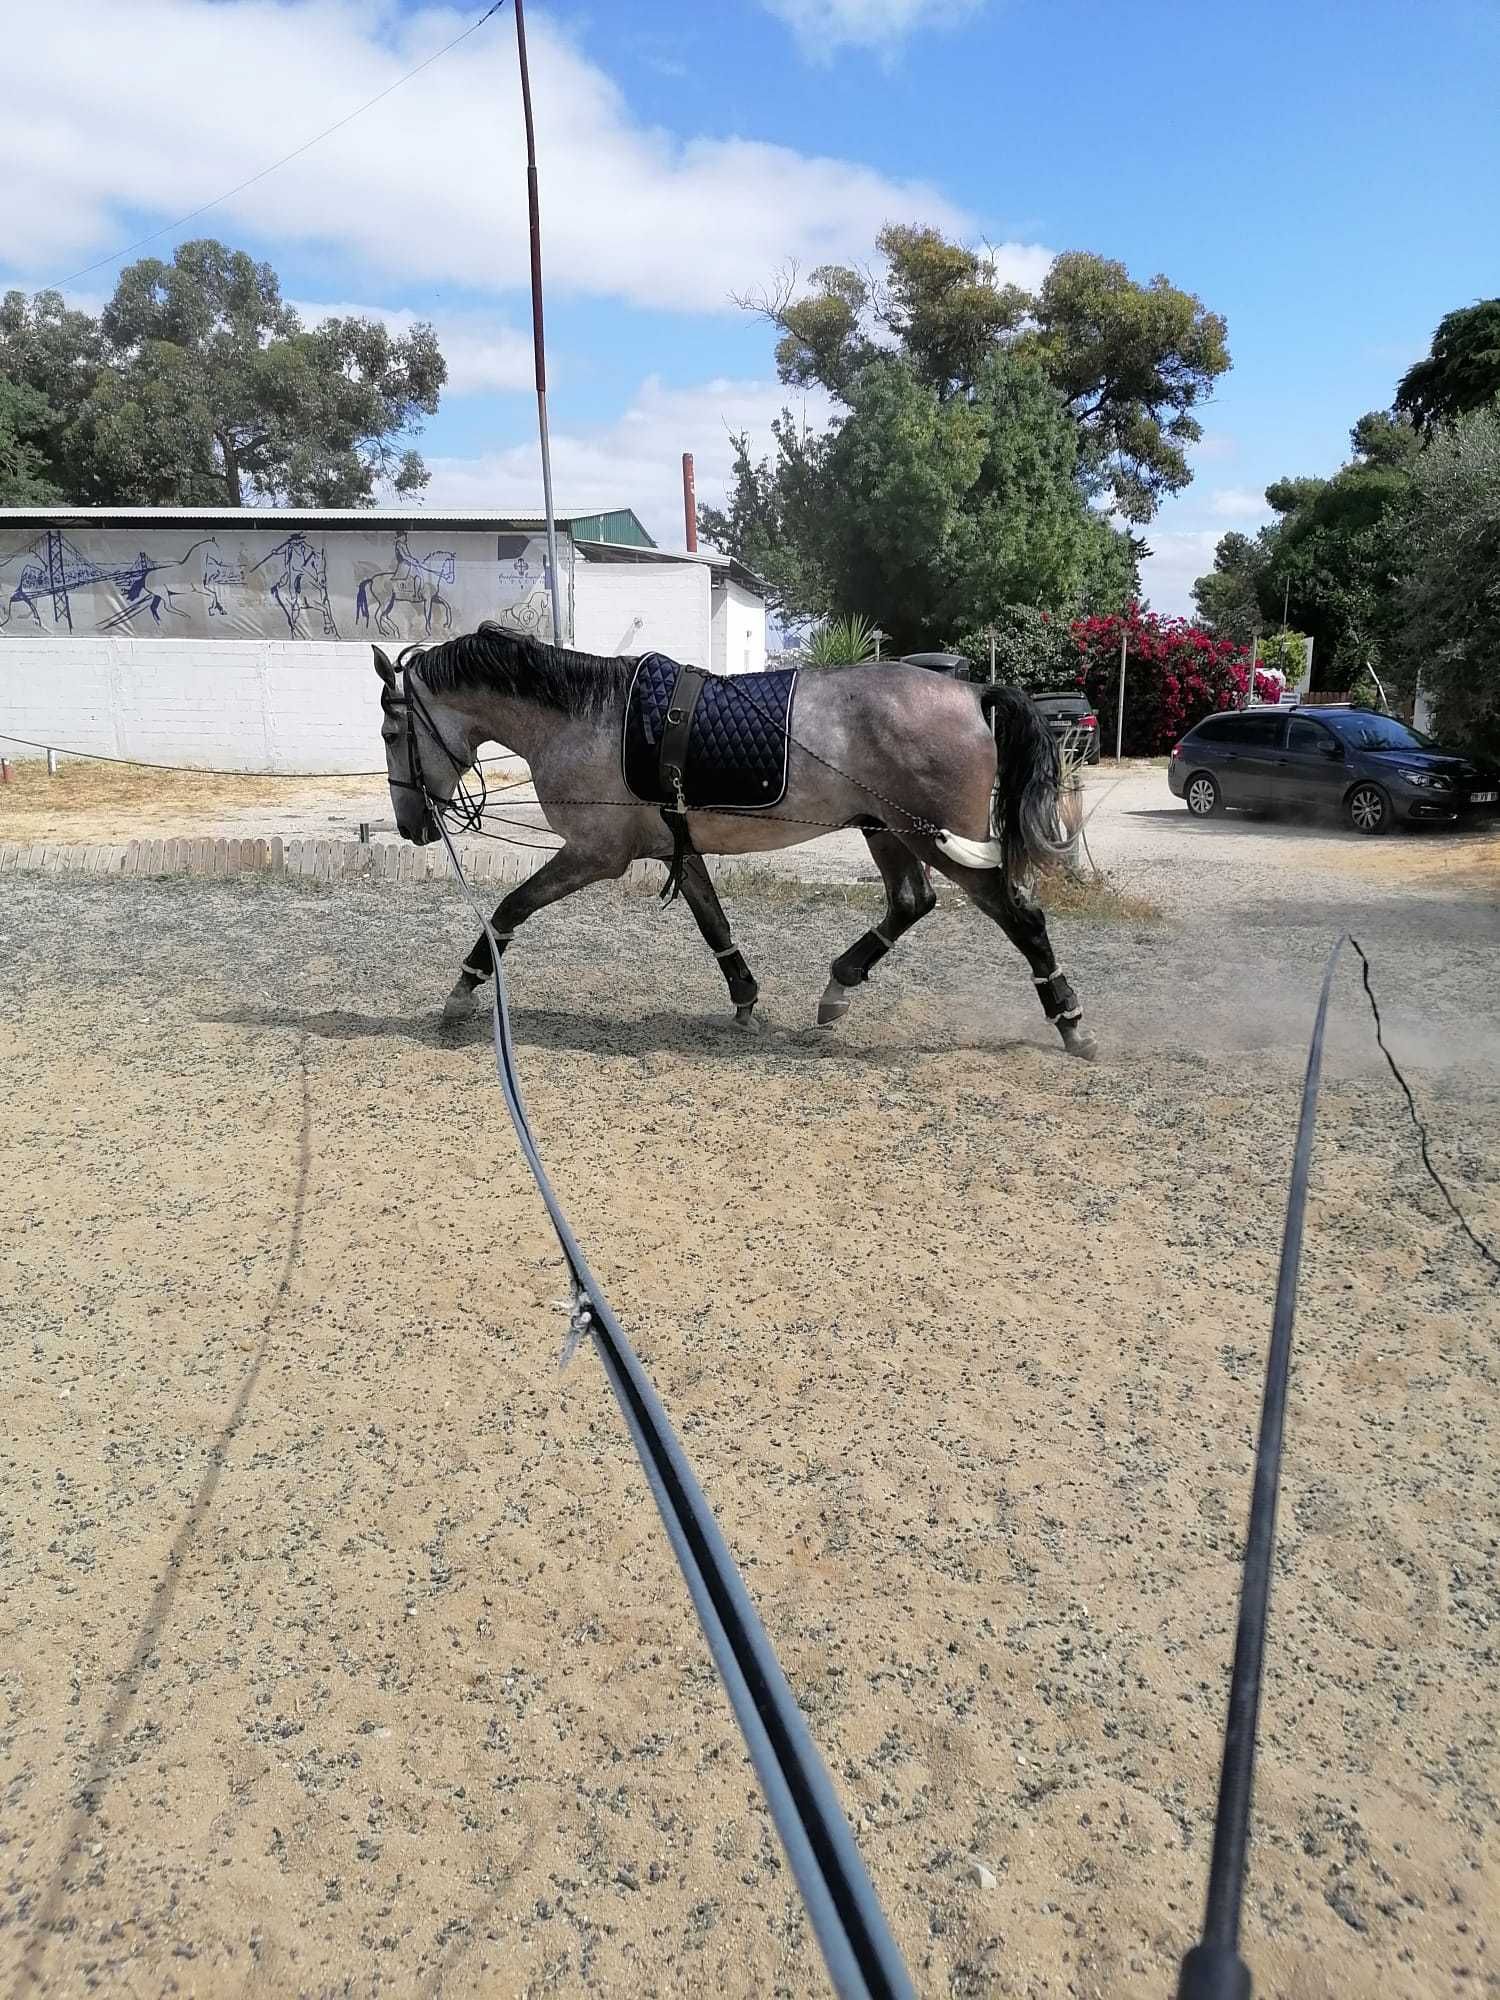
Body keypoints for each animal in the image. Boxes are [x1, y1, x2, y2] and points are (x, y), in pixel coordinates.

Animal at [374, 628, 1104, 1064]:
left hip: (935, 839)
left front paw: (463, 991)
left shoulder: (594, 856)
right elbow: (714, 923)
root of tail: (974, 691)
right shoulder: (676, 847)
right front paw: (745, 998)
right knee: (910, 902)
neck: (586, 717)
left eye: (389, 733)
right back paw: (837, 990)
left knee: (1018, 914)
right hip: (888, 830)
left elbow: (508, 910)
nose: (413, 826)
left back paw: (1069, 1019)